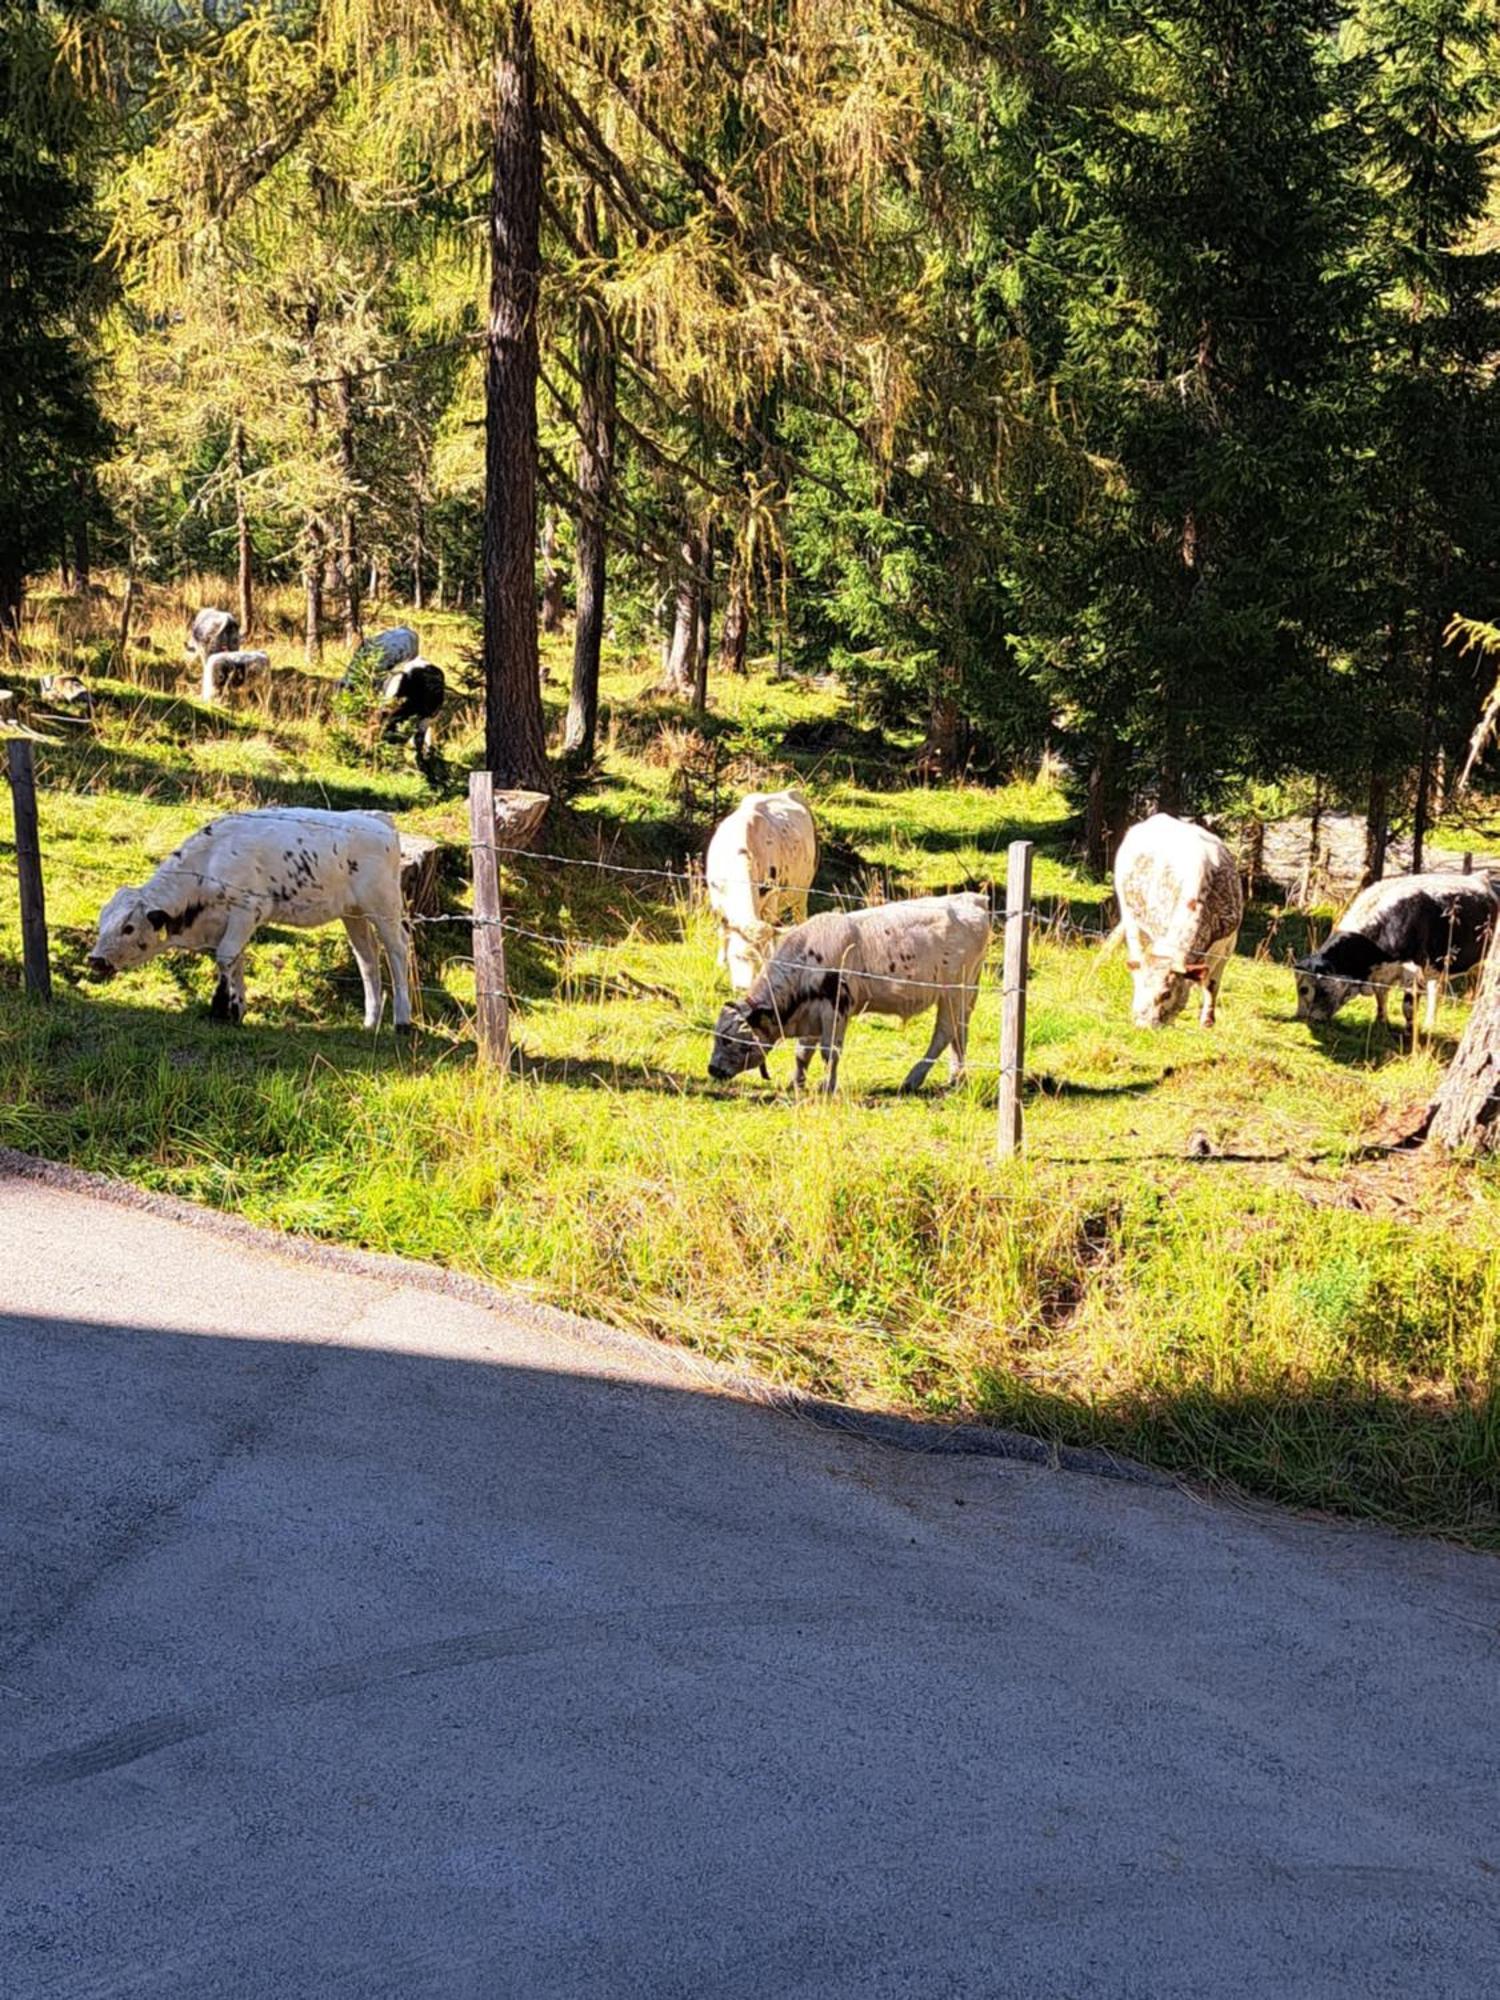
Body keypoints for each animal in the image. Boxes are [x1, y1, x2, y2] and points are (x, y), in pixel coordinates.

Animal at [88, 808, 418, 1032]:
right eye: (102, 923)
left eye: (128, 927)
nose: (95, 959)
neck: (209, 863)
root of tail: (375, 819)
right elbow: (235, 961)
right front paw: (236, 1009)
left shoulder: (247, 910)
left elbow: (225, 957)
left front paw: (221, 1008)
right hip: (353, 913)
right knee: (368, 958)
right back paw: (370, 1022)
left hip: (383, 906)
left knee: (398, 950)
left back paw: (402, 1021)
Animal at [708, 788, 824, 992]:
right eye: (736, 955)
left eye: (758, 961)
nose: (744, 988)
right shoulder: (715, 897)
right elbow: (723, 930)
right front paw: (721, 962)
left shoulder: (772, 897)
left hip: (802, 891)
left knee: (799, 916)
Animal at [708, 896, 992, 1096]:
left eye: (729, 1040)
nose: (712, 1069)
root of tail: (971, 899)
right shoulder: (812, 1014)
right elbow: (803, 1052)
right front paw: (796, 1083)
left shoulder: (836, 1009)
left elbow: (829, 1052)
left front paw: (827, 1087)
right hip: (967, 993)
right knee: (960, 1033)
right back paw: (956, 1078)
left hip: (953, 992)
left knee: (944, 1032)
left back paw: (913, 1079)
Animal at [1120, 812, 1248, 1032]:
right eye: (1140, 986)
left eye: (1166, 993)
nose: (1142, 1024)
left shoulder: (1228, 943)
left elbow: (1211, 983)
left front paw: (1207, 1021)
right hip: (1129, 915)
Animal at [1296, 872, 1500, 1032]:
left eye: (1304, 989)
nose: (1302, 1017)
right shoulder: (1382, 975)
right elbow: (1381, 997)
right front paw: (1381, 1022)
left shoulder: (1414, 971)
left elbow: (1408, 1006)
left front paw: (1409, 1032)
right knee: (1436, 990)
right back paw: (1429, 1024)